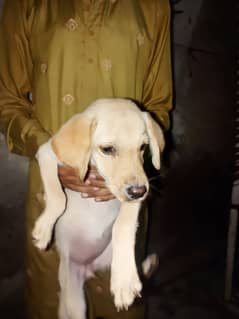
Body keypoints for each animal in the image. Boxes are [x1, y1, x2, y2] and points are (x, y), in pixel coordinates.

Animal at [31, 99, 164, 319]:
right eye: (108, 149)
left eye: (143, 147)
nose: (139, 192)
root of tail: (89, 270)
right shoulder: (46, 153)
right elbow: (58, 197)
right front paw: (44, 230)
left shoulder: (136, 188)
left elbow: (123, 225)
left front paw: (124, 281)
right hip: (73, 302)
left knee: (139, 269)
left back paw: (142, 267)